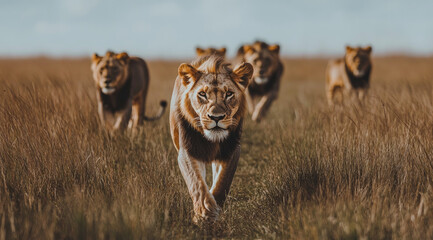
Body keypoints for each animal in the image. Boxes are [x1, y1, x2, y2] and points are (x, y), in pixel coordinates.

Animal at [169, 54, 253, 223]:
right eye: (202, 94)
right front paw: (205, 212)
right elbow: (197, 183)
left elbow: (222, 182)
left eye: (229, 94)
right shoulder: (187, 151)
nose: (216, 117)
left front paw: (214, 207)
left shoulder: (231, 150)